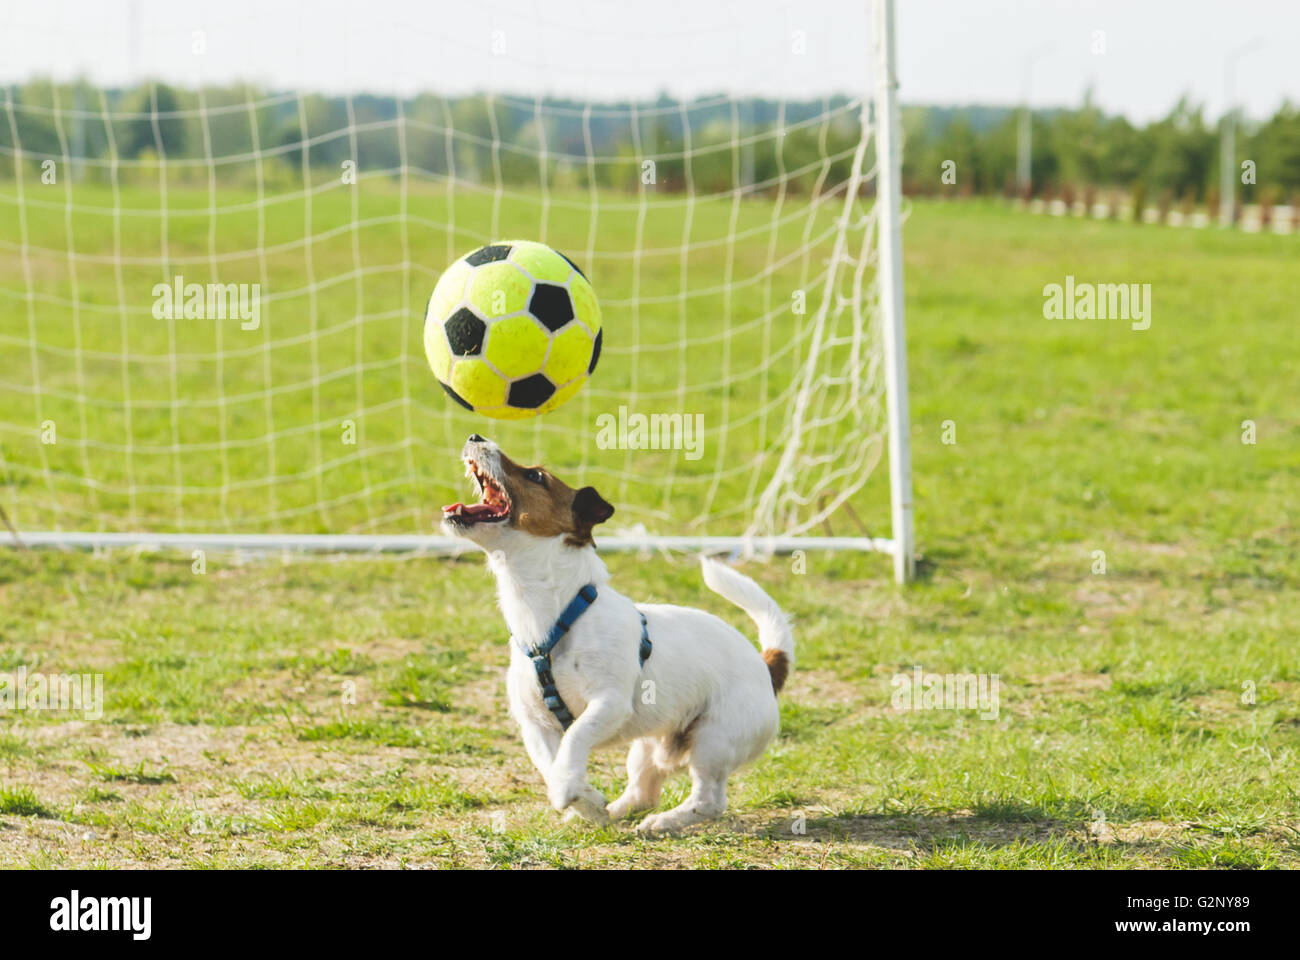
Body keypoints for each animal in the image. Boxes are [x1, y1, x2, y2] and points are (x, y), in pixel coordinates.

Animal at [444, 434, 790, 832]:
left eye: (535, 476)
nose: (476, 437)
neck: (558, 617)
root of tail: (767, 667)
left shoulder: (608, 702)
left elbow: (575, 737)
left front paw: (568, 790)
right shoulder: (534, 723)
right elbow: (551, 763)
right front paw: (585, 800)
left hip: (714, 739)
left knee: (710, 800)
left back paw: (664, 822)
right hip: (647, 748)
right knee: (644, 792)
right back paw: (615, 813)